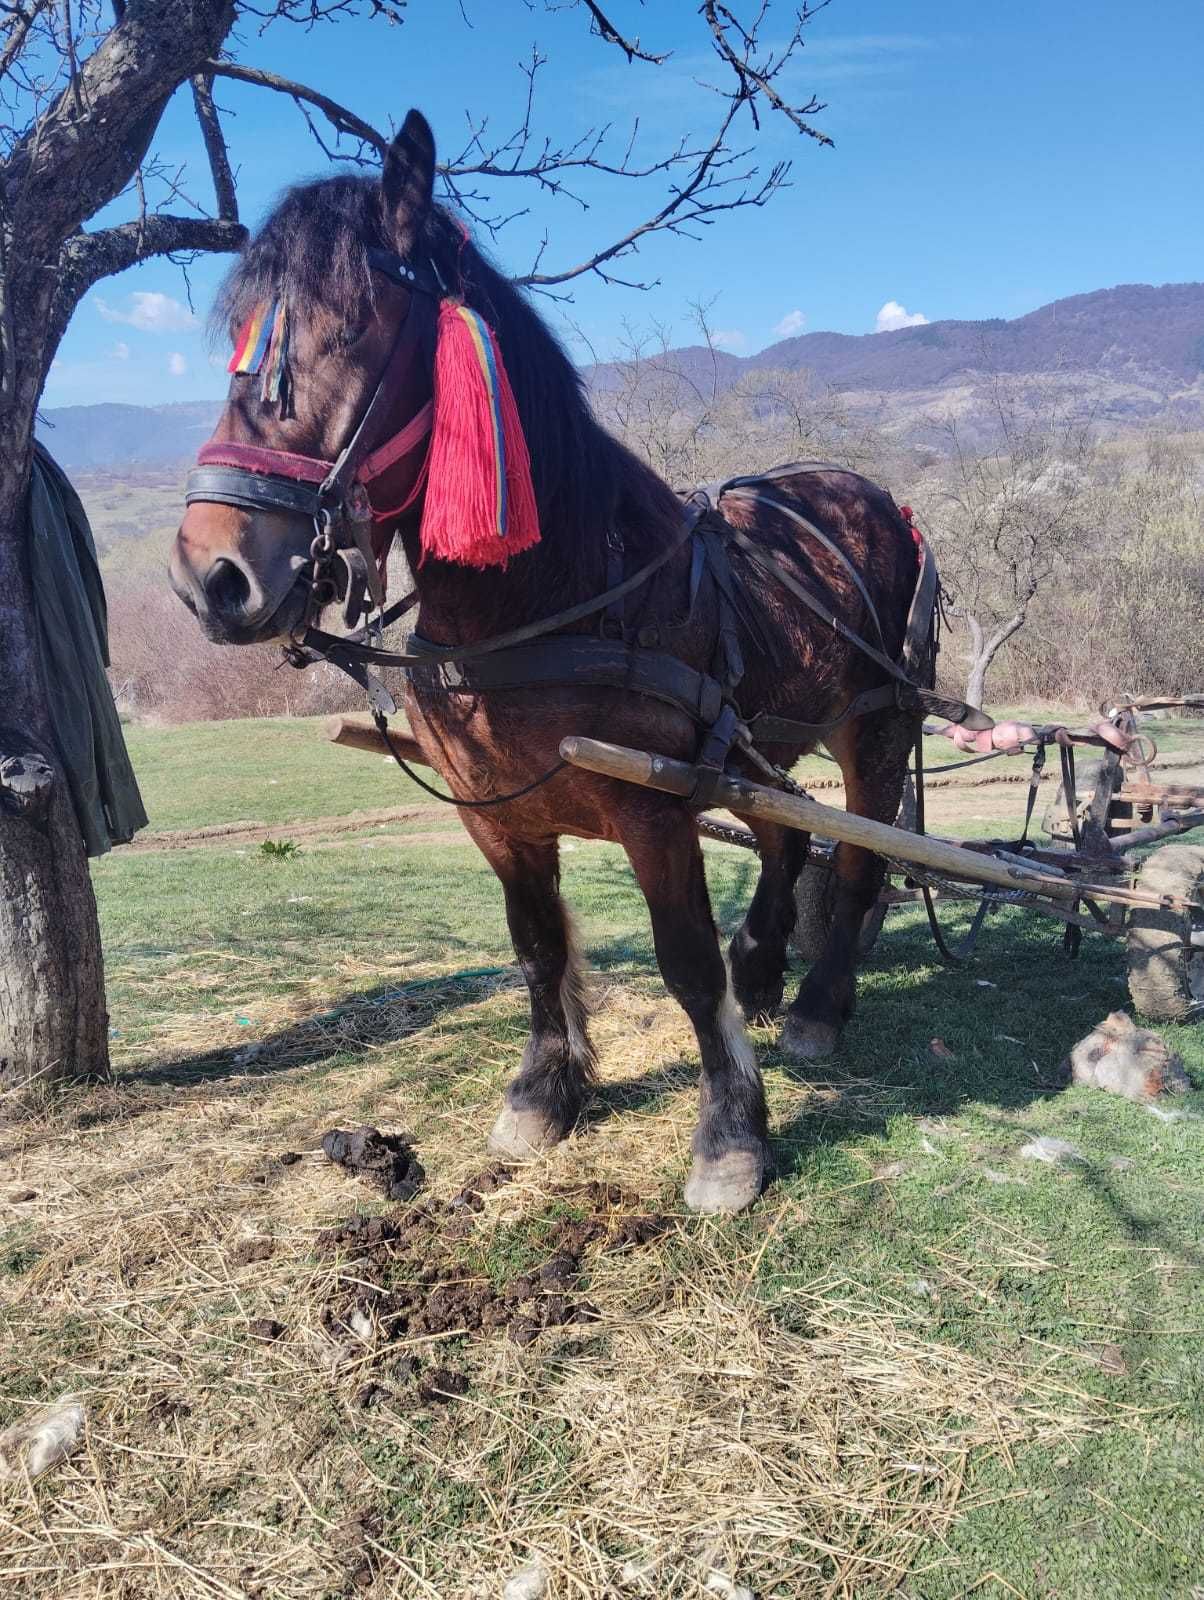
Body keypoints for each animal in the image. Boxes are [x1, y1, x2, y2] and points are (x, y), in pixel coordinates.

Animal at [169, 112, 922, 1209]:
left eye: (348, 334)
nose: (209, 577)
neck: (551, 599)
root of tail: (866, 495)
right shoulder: (496, 813)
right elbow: (536, 948)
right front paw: (544, 1091)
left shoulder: (655, 811)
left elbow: (685, 962)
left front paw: (730, 1135)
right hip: (758, 746)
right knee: (783, 837)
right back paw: (766, 966)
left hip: (876, 725)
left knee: (860, 853)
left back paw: (818, 1002)